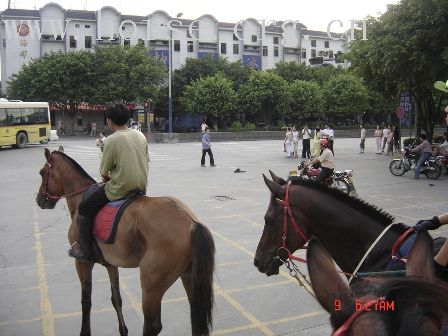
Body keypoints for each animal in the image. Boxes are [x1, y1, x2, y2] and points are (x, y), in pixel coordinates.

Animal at [36, 150, 214, 336]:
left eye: (42, 173)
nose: (40, 199)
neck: (79, 197)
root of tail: (191, 223)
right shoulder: (110, 264)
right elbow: (116, 299)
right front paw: (123, 330)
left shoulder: (82, 262)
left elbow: (86, 301)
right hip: (188, 276)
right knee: (195, 312)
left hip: (152, 284)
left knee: (152, 325)